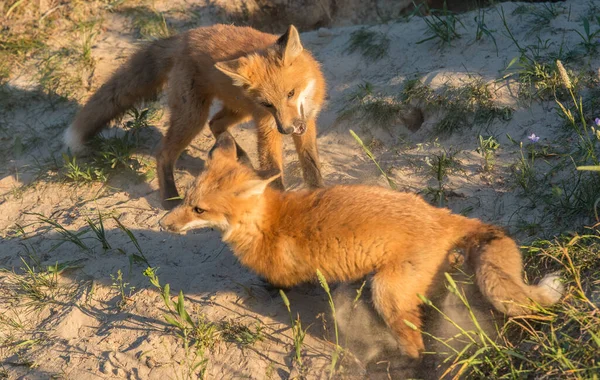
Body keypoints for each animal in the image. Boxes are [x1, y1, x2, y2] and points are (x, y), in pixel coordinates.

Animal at [63, 23, 326, 209]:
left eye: (291, 93)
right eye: (267, 104)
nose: (287, 130)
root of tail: (185, 36)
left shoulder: (307, 121)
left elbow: (311, 165)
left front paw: (318, 194)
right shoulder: (266, 125)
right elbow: (274, 169)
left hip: (238, 109)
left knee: (215, 123)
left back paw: (240, 159)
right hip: (193, 117)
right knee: (164, 152)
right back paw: (170, 198)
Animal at [159, 133, 564, 360]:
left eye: (198, 209)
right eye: (186, 200)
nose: (163, 224)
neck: (270, 221)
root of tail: (439, 214)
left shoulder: (285, 271)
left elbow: (280, 284)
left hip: (386, 291)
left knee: (415, 343)